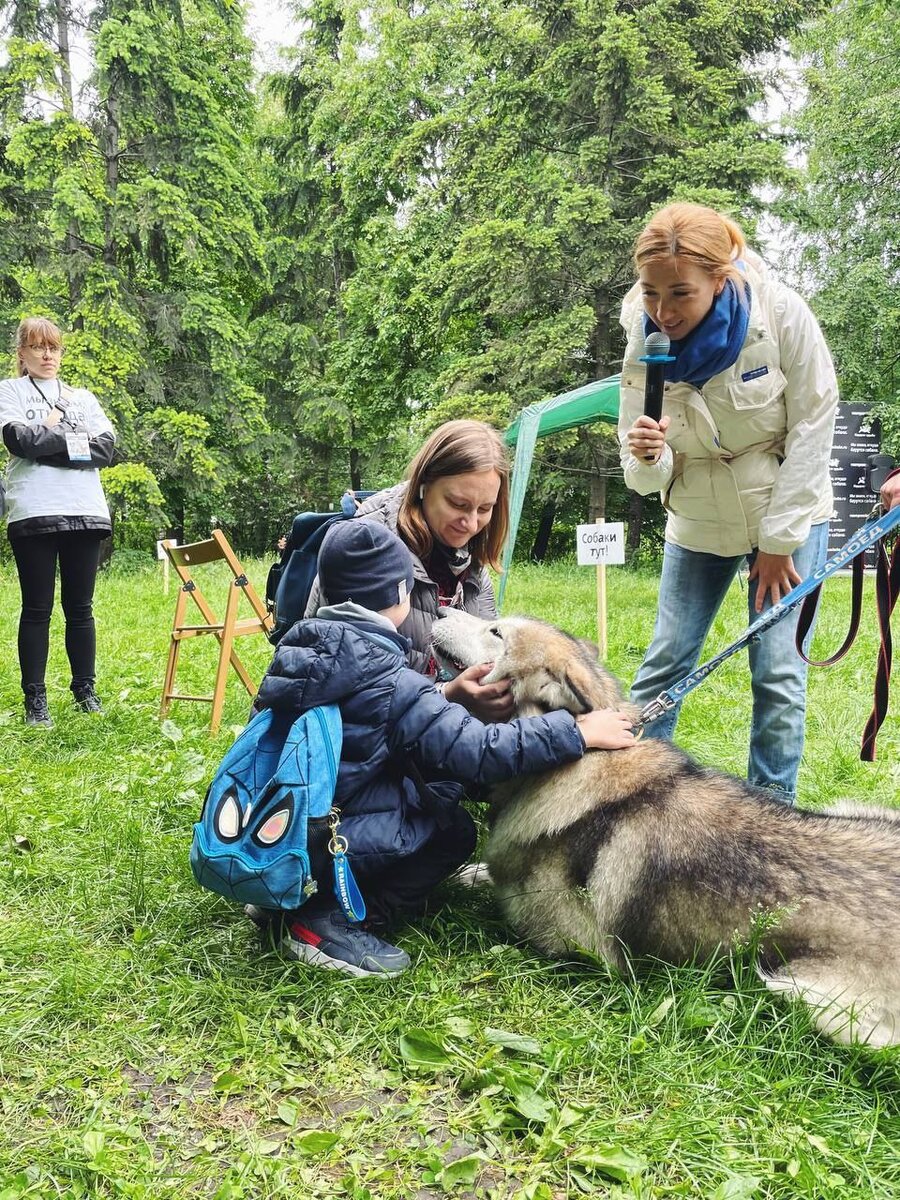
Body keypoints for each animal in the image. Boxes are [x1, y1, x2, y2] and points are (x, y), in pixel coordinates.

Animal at [429, 614, 900, 1046]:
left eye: (496, 632)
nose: (443, 611)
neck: (574, 760)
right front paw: (469, 873)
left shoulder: (576, 947)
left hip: (811, 998)